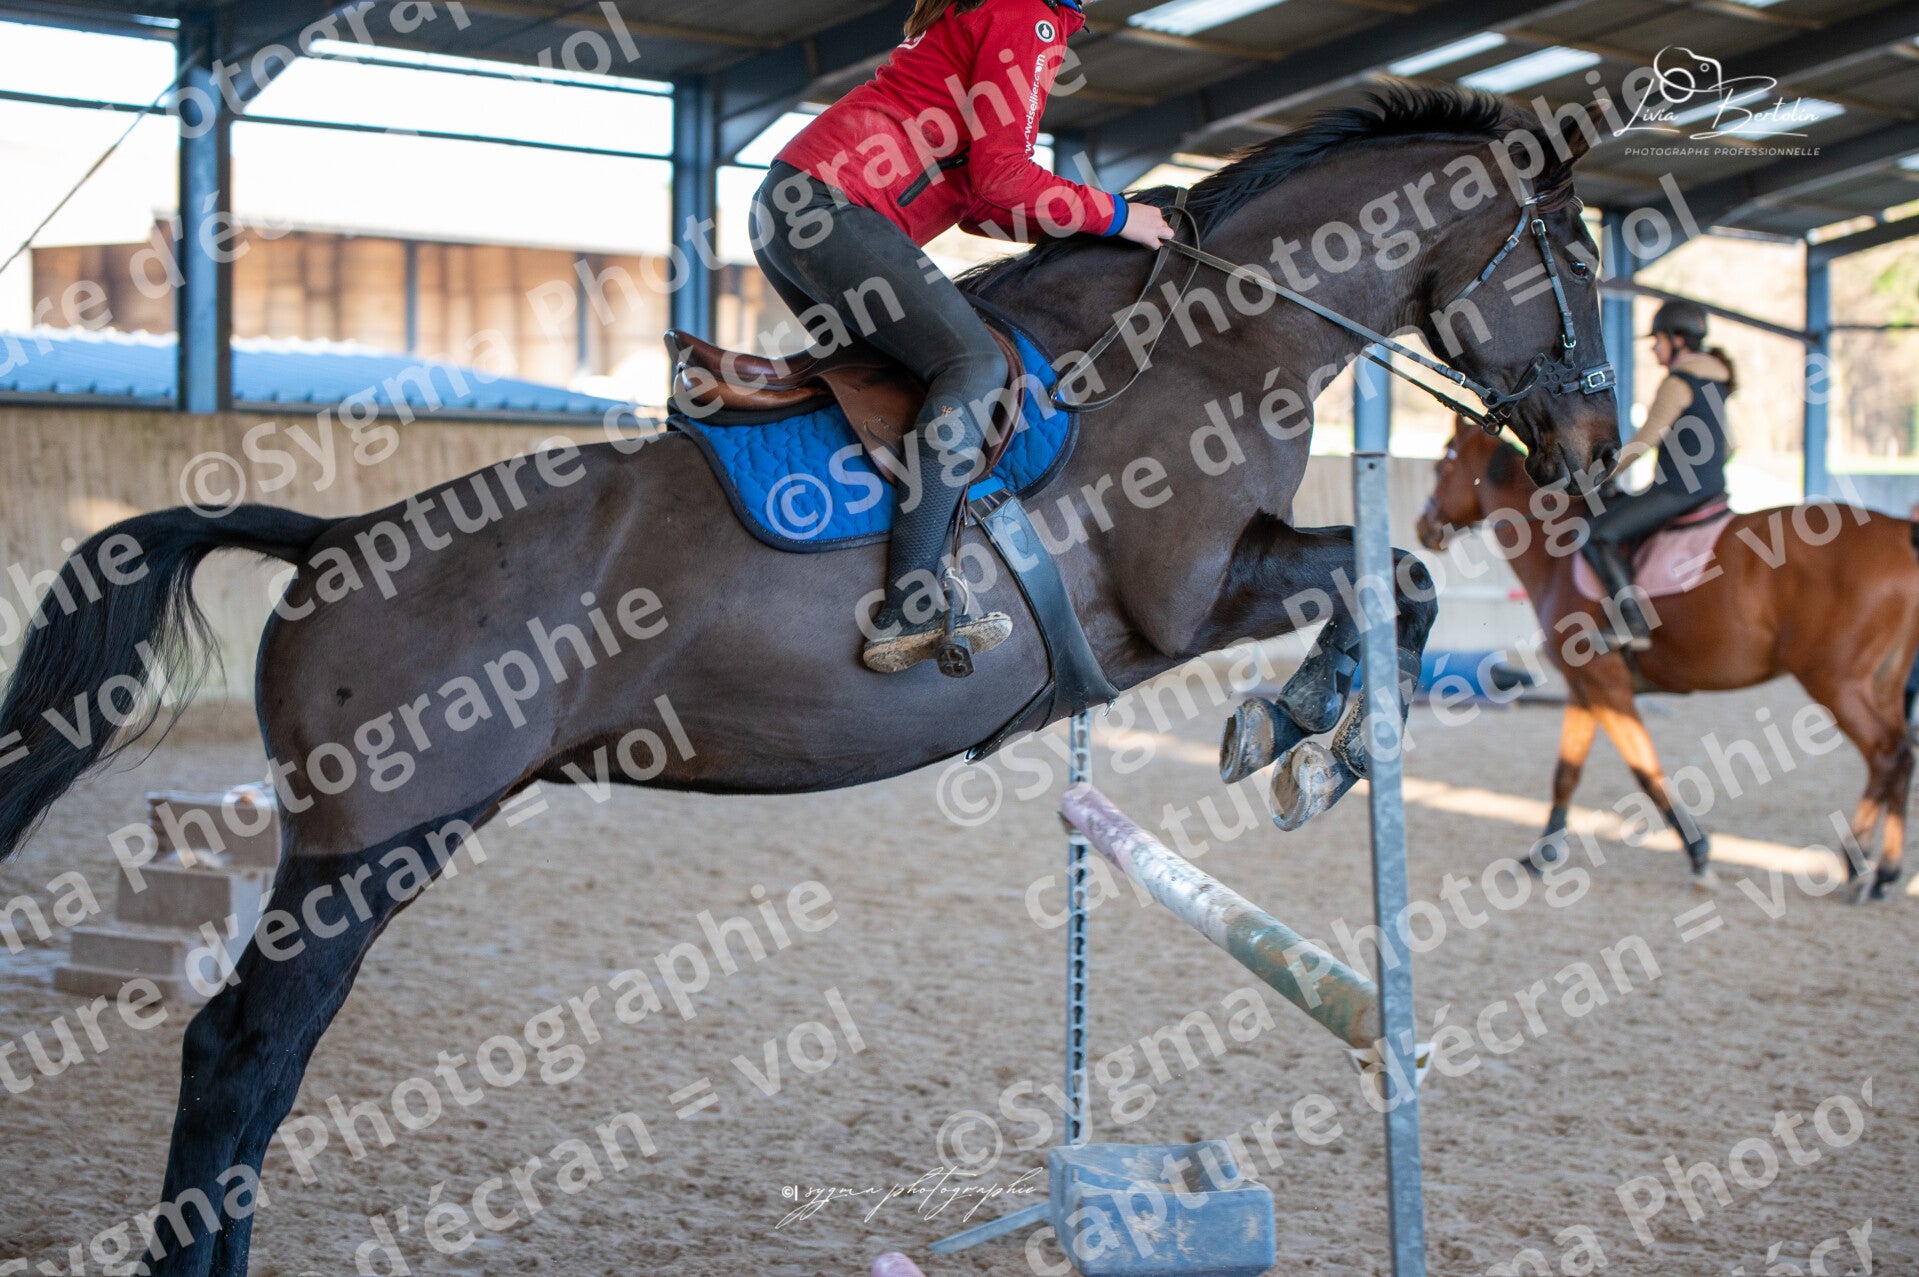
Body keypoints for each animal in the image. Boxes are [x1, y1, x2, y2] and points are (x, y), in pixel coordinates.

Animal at [0, 87, 1619, 1274]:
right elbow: (1380, 576)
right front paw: (1304, 728)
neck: (1209, 341)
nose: (1595, 451)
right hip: (372, 843)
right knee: (242, 1051)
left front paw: (1308, 728)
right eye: (1570, 262)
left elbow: (1392, 582)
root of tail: (337, 536)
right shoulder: (1188, 595)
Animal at [1415, 417, 1919, 900]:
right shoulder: (1585, 687)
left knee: (1885, 754)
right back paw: (1887, 873)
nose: (1424, 527)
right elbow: (1566, 773)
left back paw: (1856, 862)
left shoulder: (1607, 686)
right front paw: (1541, 856)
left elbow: (1646, 771)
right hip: (1884, 683)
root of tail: (1900, 532)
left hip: (1834, 681)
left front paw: (1699, 855)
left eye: (1442, 467)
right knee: (1903, 753)